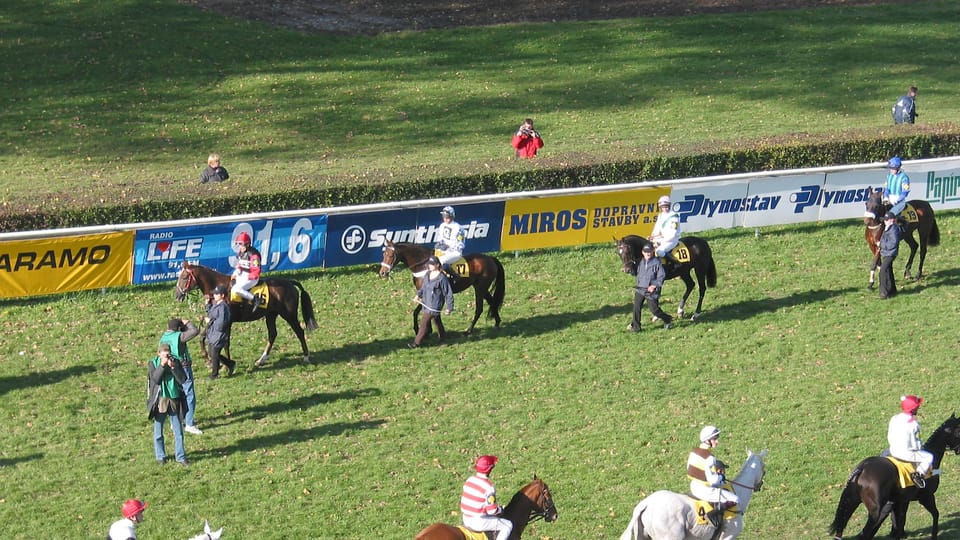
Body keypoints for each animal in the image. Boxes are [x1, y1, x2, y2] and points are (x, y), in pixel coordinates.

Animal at [175, 260, 318, 368]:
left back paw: (306, 356)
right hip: (271, 315)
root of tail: (290, 282)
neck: (219, 289)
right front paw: (209, 360)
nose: (177, 295)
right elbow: (202, 336)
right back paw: (261, 360)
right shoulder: (216, 321)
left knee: (299, 332)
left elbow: (225, 342)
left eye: (184, 277)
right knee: (273, 334)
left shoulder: (227, 321)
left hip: (289, 315)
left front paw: (225, 365)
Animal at [378, 239, 506, 334]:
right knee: (492, 302)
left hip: (480, 288)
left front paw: (420, 329)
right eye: (384, 254)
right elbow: (421, 310)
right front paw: (427, 330)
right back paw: (497, 322)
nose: (382, 273)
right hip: (481, 287)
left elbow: (420, 310)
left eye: (391, 255)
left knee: (479, 308)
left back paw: (469, 330)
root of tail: (491, 258)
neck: (424, 265)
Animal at [824, 414, 960, 540]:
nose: (958, 450)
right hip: (874, 512)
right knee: (865, 532)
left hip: (852, 502)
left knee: (842, 526)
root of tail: (863, 467)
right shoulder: (926, 497)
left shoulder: (901, 501)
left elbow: (899, 523)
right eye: (959, 431)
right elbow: (935, 514)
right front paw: (934, 535)